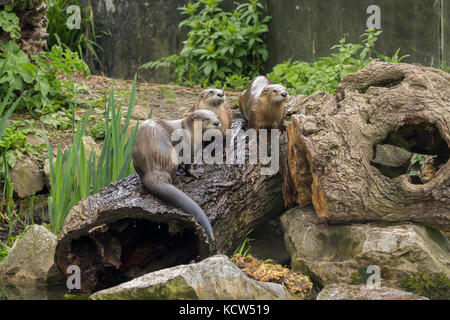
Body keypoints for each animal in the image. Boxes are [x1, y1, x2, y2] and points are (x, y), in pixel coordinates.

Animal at [131, 109, 221, 241]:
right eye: (206, 118)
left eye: (216, 116)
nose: (216, 122)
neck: (190, 131)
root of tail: (153, 168)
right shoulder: (190, 149)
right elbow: (189, 165)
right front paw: (195, 173)